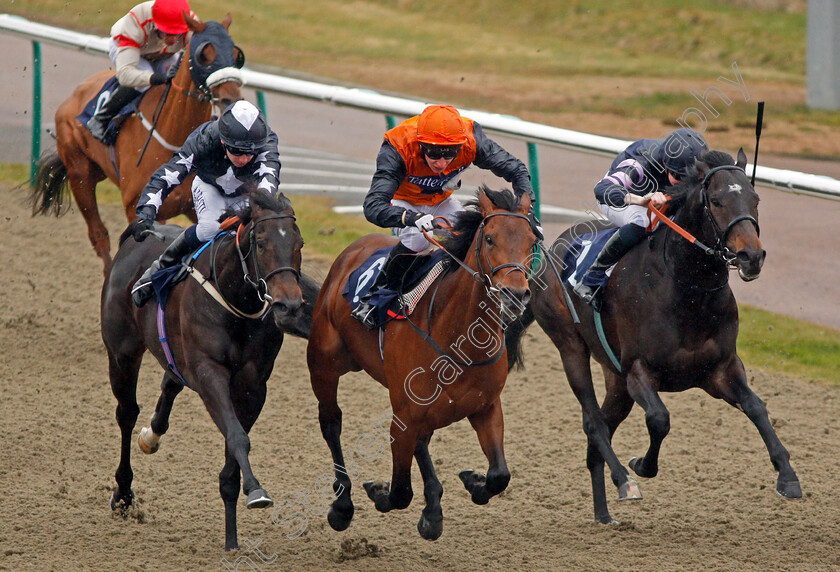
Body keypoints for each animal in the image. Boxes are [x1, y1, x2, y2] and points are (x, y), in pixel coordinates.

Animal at [32, 13, 243, 278]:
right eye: (205, 54)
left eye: (236, 54)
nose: (230, 98)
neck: (174, 136)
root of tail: (75, 94)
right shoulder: (138, 207)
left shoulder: (195, 209)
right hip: (80, 174)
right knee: (99, 235)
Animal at [101, 190, 306, 548]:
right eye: (261, 243)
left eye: (299, 244)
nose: (290, 306)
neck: (234, 298)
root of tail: (140, 234)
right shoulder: (210, 372)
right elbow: (237, 437)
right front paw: (256, 491)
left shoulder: (254, 385)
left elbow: (234, 447)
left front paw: (232, 537)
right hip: (122, 352)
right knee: (126, 413)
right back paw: (123, 493)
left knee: (170, 382)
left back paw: (152, 434)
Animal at [506, 150, 800, 524]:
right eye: (717, 201)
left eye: (755, 198)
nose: (752, 256)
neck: (687, 290)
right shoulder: (638, 370)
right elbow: (659, 419)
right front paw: (641, 465)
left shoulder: (721, 370)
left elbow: (758, 408)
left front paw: (787, 476)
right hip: (571, 346)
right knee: (593, 423)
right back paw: (624, 482)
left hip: (615, 378)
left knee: (600, 432)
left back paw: (603, 514)